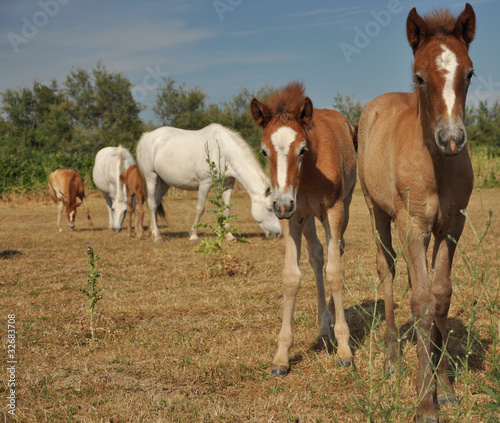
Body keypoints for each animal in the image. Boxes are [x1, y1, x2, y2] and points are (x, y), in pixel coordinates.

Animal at [137, 122, 284, 243]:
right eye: (269, 209)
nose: (278, 234)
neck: (222, 150)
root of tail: (148, 136)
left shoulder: (228, 184)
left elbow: (227, 210)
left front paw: (229, 235)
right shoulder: (204, 183)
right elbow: (200, 209)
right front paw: (193, 236)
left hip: (163, 182)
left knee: (156, 203)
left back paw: (154, 231)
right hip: (151, 177)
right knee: (151, 204)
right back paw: (157, 237)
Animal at [252, 81, 358, 376]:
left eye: (302, 149)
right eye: (264, 151)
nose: (280, 204)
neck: (310, 172)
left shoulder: (333, 210)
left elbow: (335, 272)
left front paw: (344, 350)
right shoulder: (294, 216)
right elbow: (291, 277)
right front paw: (281, 356)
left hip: (341, 207)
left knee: (336, 251)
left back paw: (331, 319)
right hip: (308, 217)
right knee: (317, 255)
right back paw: (323, 327)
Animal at [358, 4, 474, 423]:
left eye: (469, 73)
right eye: (420, 78)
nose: (452, 139)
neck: (437, 165)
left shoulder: (451, 226)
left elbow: (439, 296)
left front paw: (447, 390)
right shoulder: (413, 224)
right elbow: (421, 302)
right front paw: (425, 401)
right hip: (376, 210)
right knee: (388, 269)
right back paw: (392, 360)